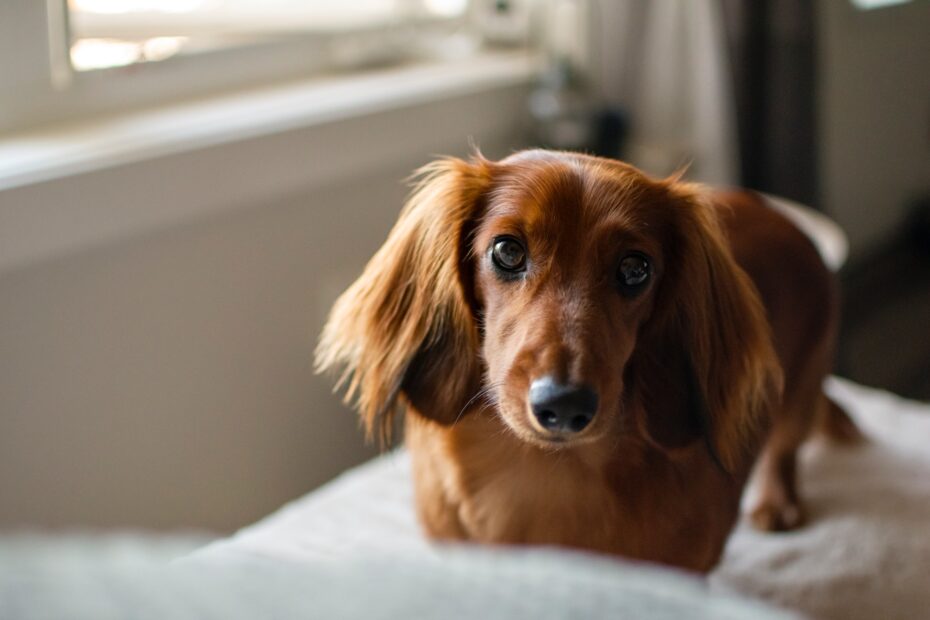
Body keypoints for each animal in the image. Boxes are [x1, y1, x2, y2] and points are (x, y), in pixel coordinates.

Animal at [316, 149, 860, 572]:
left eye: (636, 268)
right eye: (507, 251)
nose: (563, 405)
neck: (542, 477)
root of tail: (782, 217)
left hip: (800, 386)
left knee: (784, 448)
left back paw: (776, 502)